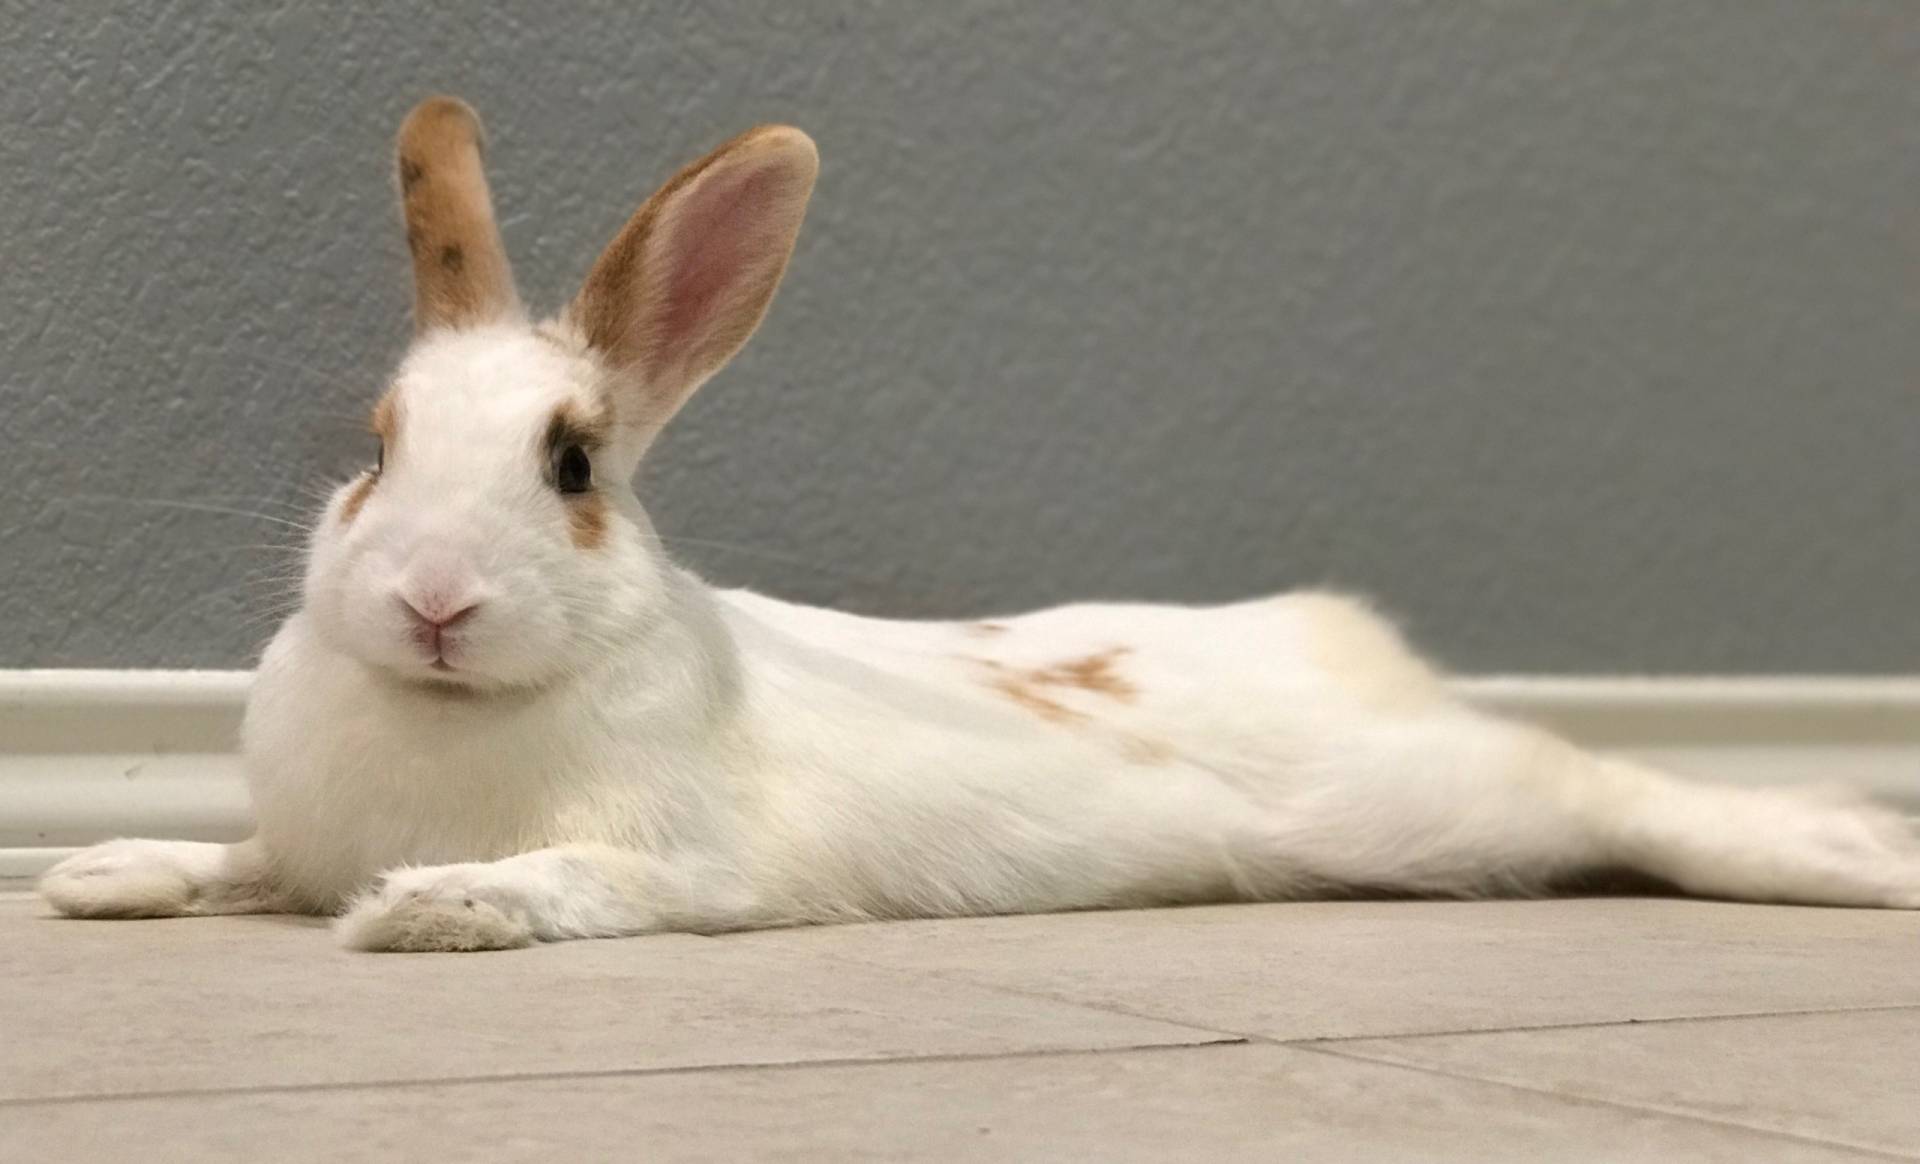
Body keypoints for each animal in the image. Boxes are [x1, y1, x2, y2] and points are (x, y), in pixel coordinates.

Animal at [39, 97, 1920, 953]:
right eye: (376, 449)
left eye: (572, 466)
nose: (430, 600)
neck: (444, 717)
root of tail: (1356, 649)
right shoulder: (292, 832)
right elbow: (238, 858)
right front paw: (100, 870)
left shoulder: (693, 864)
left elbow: (573, 876)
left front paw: (426, 907)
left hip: (1451, 806)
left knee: (1637, 797)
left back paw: (1855, 854)